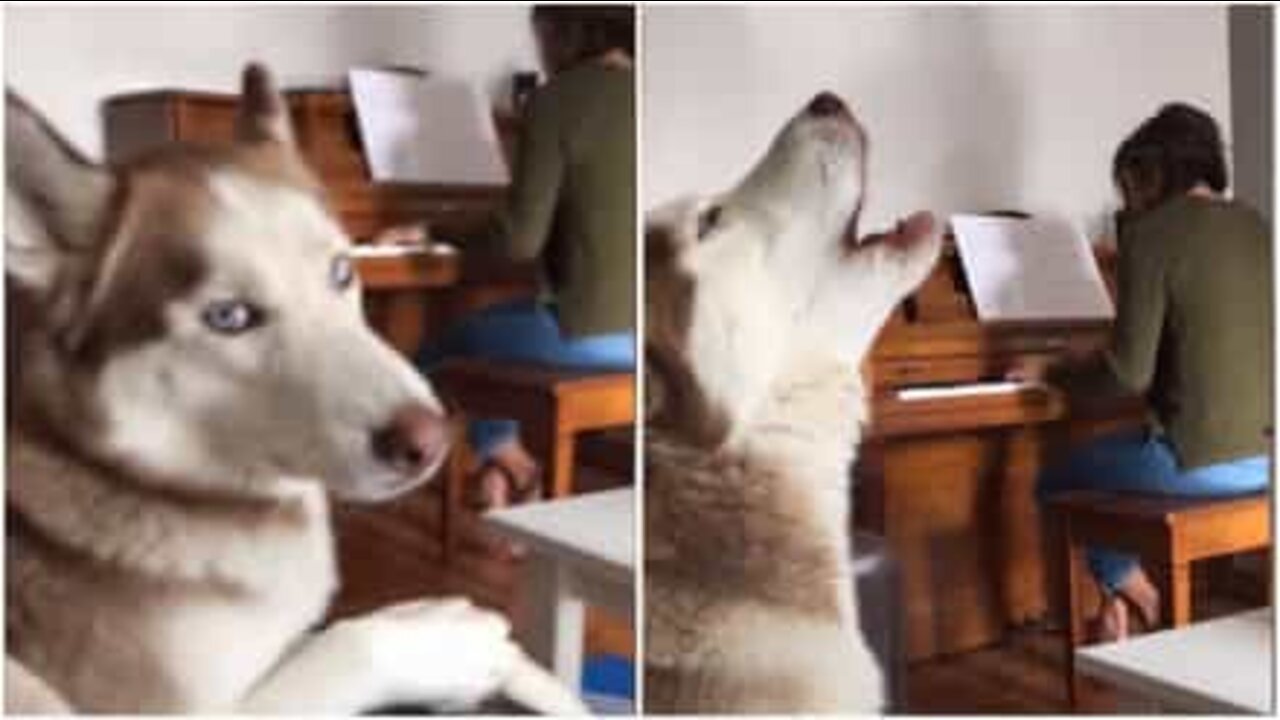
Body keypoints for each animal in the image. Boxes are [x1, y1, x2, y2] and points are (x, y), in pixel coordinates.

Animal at [3, 65, 586, 712]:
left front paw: (544, 684)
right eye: (228, 317)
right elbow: (348, 641)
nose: (430, 439)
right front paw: (446, 639)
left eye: (342, 270)